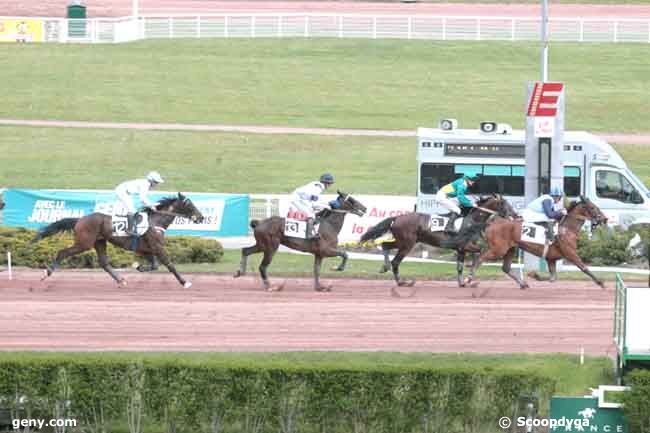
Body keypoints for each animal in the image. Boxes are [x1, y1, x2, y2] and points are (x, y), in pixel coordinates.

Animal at [30, 192, 201, 286]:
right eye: (189, 205)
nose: (201, 217)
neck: (155, 222)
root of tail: (80, 219)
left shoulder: (147, 250)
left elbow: (154, 266)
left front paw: (138, 266)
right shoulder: (157, 248)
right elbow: (169, 265)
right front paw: (185, 282)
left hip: (99, 242)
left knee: (104, 263)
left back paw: (121, 280)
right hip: (84, 243)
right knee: (62, 252)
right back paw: (47, 273)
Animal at [233, 191, 364, 292]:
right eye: (351, 199)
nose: (364, 208)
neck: (330, 225)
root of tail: (259, 222)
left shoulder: (319, 254)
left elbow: (316, 270)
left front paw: (320, 287)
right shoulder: (326, 250)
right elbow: (345, 254)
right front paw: (337, 268)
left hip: (261, 245)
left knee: (245, 250)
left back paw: (240, 272)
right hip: (271, 247)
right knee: (262, 267)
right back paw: (271, 286)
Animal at [360, 196, 516, 286]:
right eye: (506, 205)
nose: (516, 215)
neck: (472, 221)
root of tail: (397, 218)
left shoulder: (461, 249)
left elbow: (460, 266)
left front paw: (462, 281)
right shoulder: (465, 245)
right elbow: (480, 251)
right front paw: (470, 272)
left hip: (402, 241)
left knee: (385, 245)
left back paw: (384, 267)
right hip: (407, 244)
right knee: (395, 262)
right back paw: (402, 282)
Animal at [466, 196, 608, 290]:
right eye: (592, 207)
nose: (605, 218)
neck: (566, 229)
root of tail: (491, 222)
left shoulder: (551, 259)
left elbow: (552, 278)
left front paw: (534, 275)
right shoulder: (571, 254)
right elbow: (584, 268)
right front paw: (601, 282)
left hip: (510, 249)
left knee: (505, 268)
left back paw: (523, 284)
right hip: (498, 249)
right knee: (480, 258)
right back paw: (469, 279)